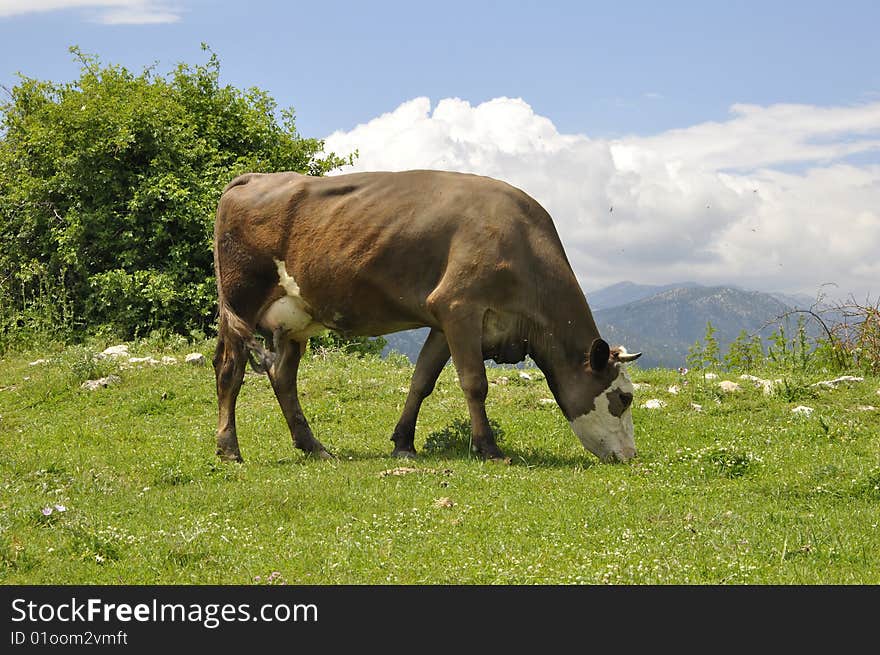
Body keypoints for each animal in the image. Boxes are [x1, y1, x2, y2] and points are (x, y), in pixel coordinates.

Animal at [211, 170, 644, 466]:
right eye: (624, 397)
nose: (630, 455)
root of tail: (252, 178)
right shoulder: (460, 305)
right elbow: (474, 383)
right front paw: (488, 448)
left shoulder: (442, 319)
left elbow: (421, 381)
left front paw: (404, 443)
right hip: (240, 301)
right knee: (230, 370)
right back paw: (229, 449)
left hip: (294, 318)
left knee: (282, 377)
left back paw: (314, 447)